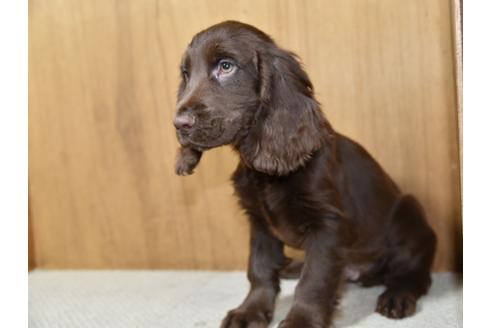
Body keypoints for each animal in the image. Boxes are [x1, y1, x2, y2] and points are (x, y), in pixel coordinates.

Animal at [172, 21, 434, 328]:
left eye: (226, 66)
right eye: (186, 74)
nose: (178, 124)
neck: (263, 169)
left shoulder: (328, 224)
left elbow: (315, 280)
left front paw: (301, 320)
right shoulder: (259, 222)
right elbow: (259, 268)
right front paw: (250, 311)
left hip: (409, 213)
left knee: (412, 272)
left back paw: (397, 296)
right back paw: (292, 266)